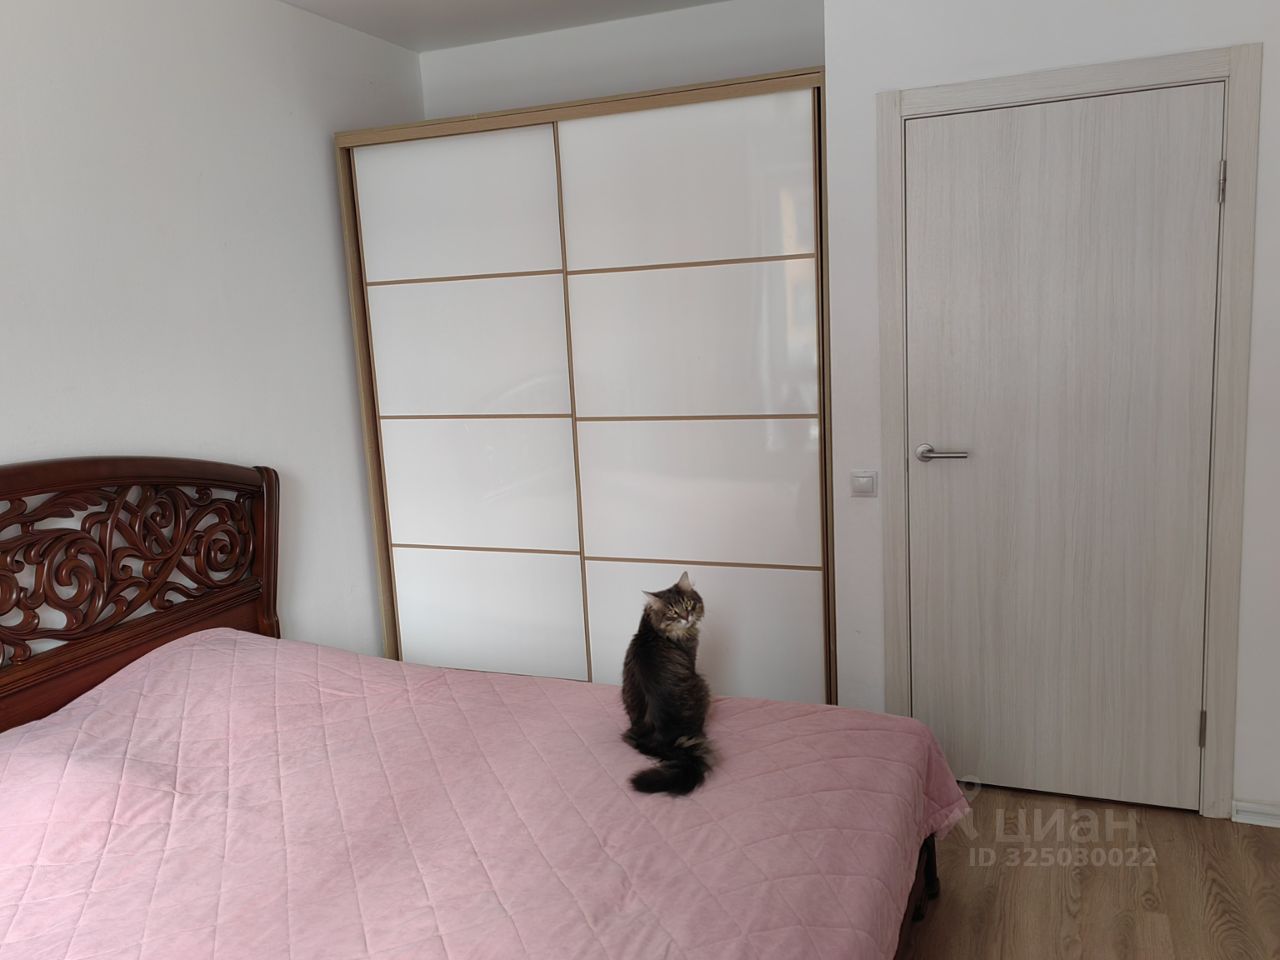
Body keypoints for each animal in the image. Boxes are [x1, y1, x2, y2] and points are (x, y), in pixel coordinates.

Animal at [620, 571, 714, 796]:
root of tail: (663, 738)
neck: (653, 629)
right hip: (702, 685)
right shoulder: (692, 658)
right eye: (672, 611)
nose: (686, 617)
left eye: (688, 603)